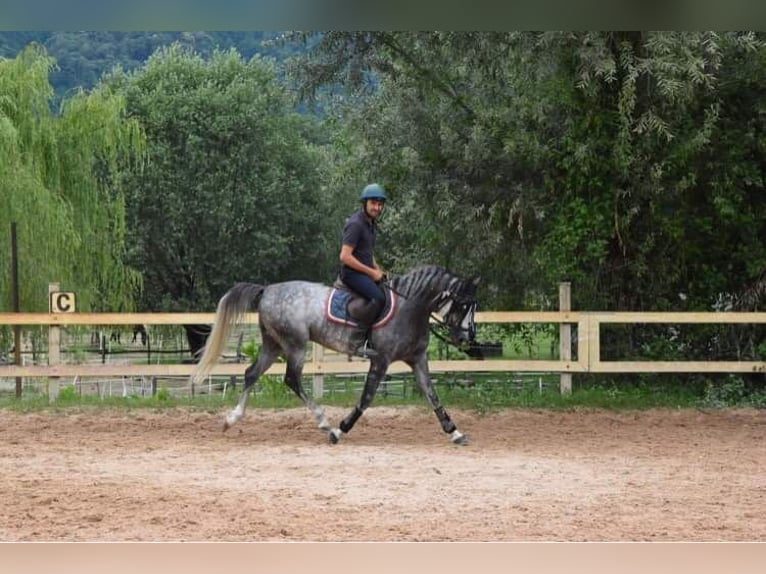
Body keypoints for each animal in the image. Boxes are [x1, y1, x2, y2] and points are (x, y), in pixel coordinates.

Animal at [191, 266, 480, 446]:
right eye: (463, 305)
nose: (466, 339)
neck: (409, 308)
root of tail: (267, 290)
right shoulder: (381, 359)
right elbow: (366, 398)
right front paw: (340, 431)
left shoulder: (418, 359)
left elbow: (432, 395)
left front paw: (455, 432)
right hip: (295, 345)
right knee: (292, 379)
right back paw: (324, 423)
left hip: (273, 345)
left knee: (251, 373)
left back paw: (232, 419)